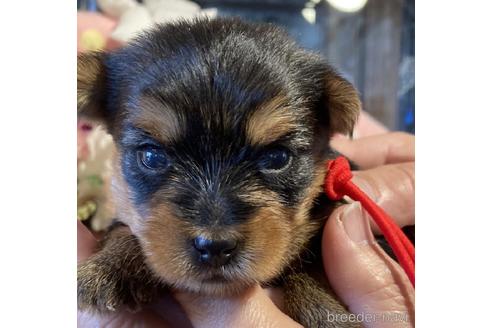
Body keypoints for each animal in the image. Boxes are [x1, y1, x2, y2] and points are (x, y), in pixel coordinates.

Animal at [78, 18, 362, 328]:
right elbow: (124, 230)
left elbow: (313, 267)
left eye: (277, 157)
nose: (214, 247)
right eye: (152, 156)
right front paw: (106, 268)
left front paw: (325, 311)